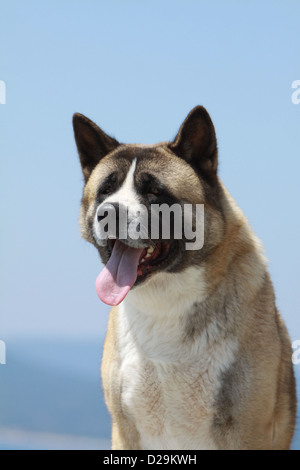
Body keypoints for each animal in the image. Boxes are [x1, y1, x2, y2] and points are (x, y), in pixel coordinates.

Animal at [73, 105, 298, 448]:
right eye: (105, 191)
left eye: (155, 191)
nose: (109, 212)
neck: (164, 303)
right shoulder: (125, 431)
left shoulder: (247, 432)